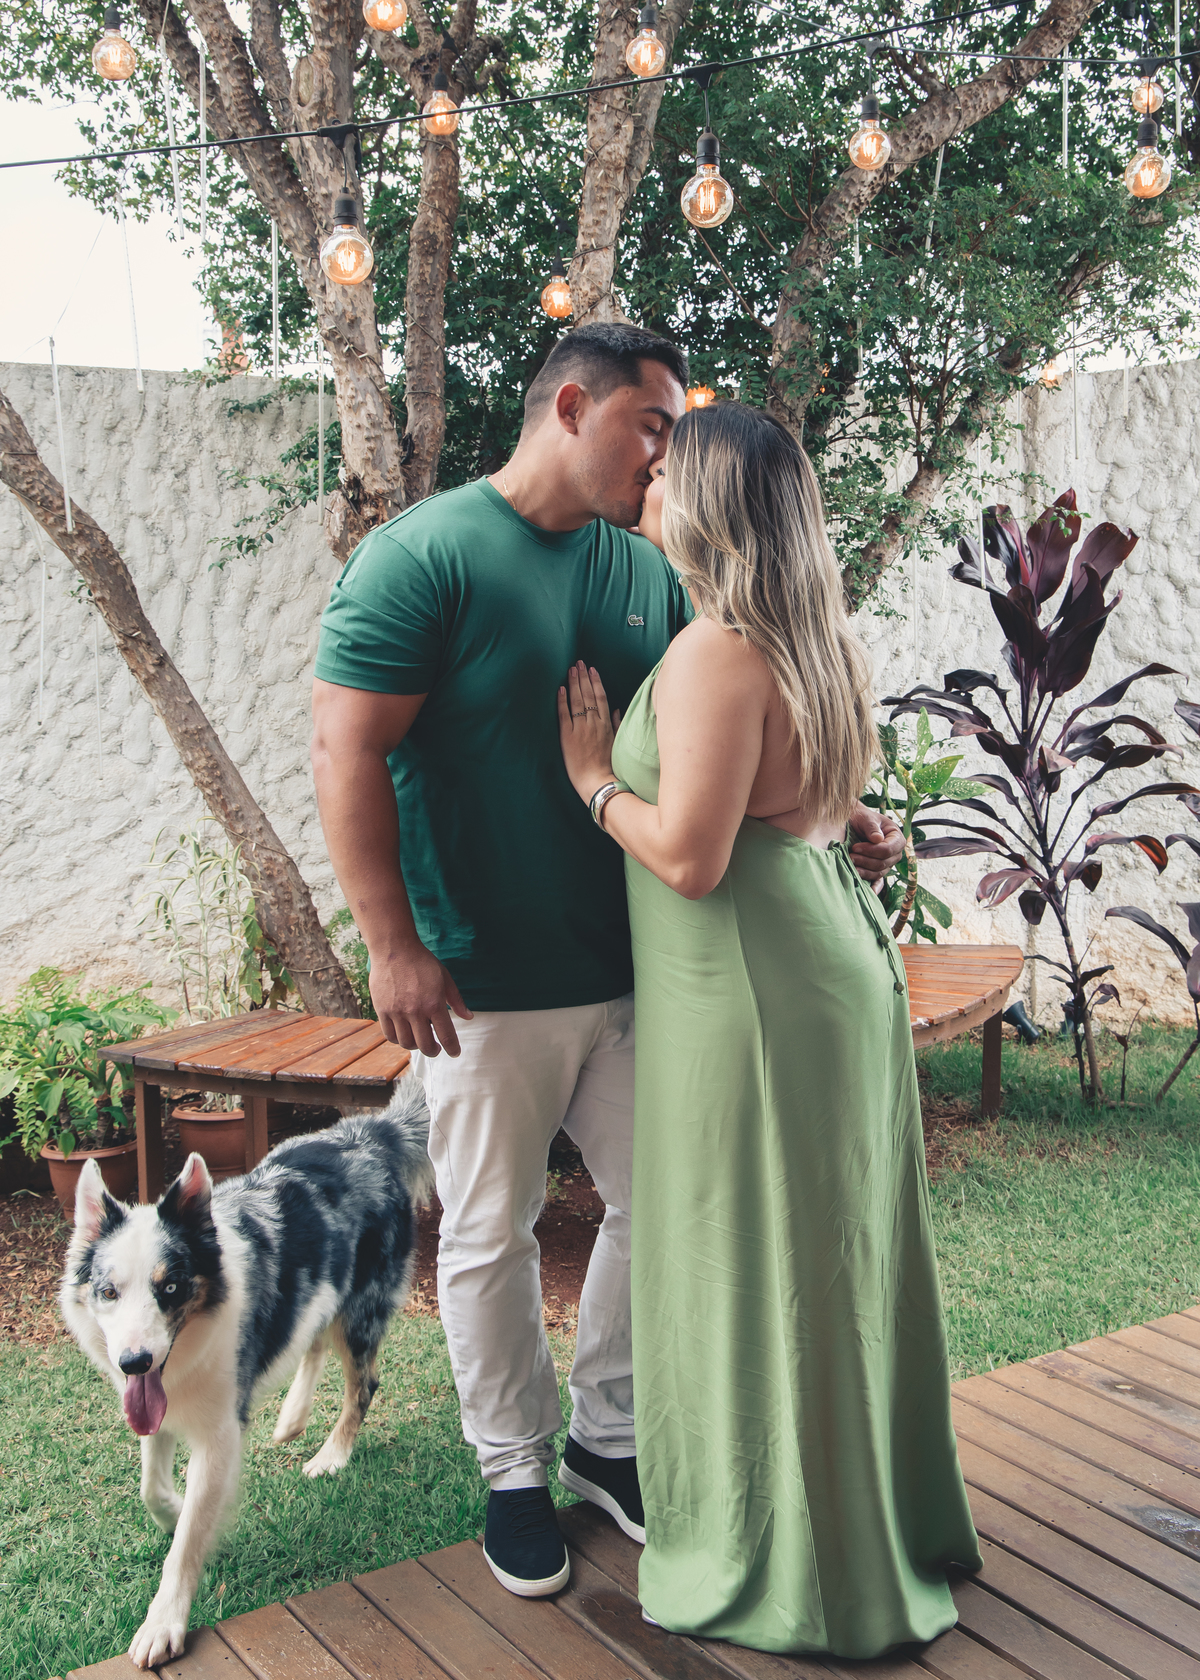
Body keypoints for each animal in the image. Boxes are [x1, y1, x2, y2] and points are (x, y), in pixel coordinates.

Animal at [60, 1077, 432, 1670]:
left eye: (170, 1288)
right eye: (108, 1291)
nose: (133, 1362)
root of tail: (374, 1132)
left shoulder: (219, 1434)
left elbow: (187, 1543)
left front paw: (163, 1622)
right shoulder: (159, 1404)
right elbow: (150, 1486)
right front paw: (171, 1510)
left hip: (361, 1311)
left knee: (363, 1384)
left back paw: (331, 1455)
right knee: (310, 1338)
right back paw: (291, 1418)